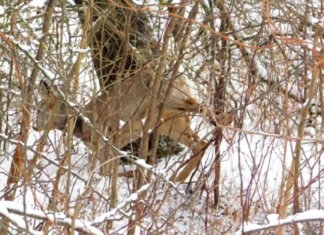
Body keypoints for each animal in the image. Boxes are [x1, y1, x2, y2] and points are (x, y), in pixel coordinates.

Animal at [34, 73, 232, 182]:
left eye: (41, 110)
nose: (35, 127)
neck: (82, 125)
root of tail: (186, 78)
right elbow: (106, 171)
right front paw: (135, 173)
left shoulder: (108, 139)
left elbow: (106, 172)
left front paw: (133, 174)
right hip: (172, 124)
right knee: (200, 143)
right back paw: (178, 178)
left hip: (170, 101)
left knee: (199, 108)